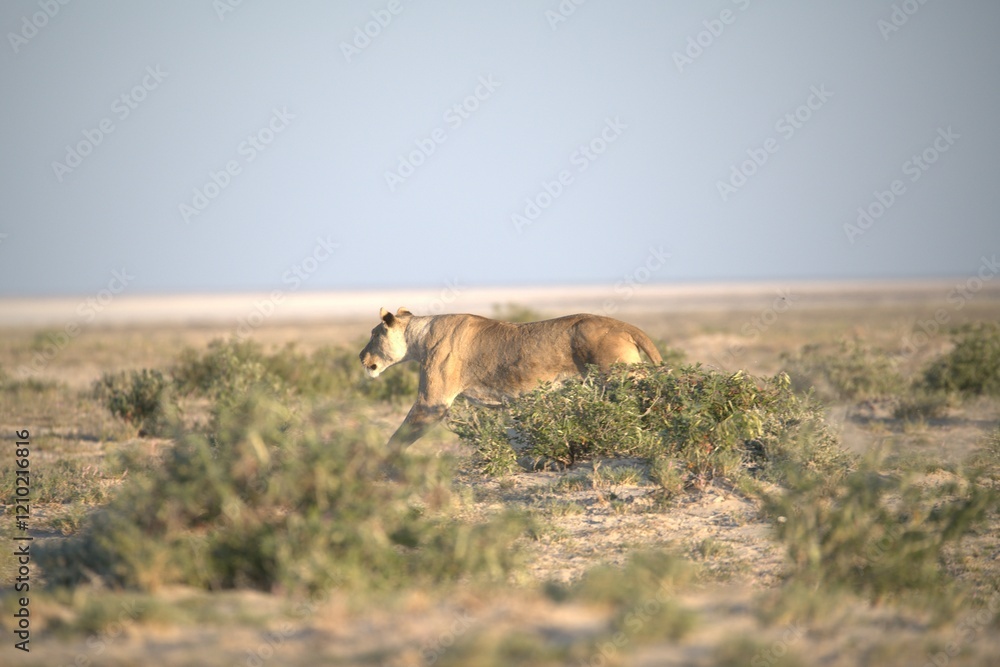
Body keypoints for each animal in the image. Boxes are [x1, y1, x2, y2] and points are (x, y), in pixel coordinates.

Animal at [359, 307, 662, 452]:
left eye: (374, 334)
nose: (361, 356)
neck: (419, 339)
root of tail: (624, 325)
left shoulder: (432, 402)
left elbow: (400, 436)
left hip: (622, 379)